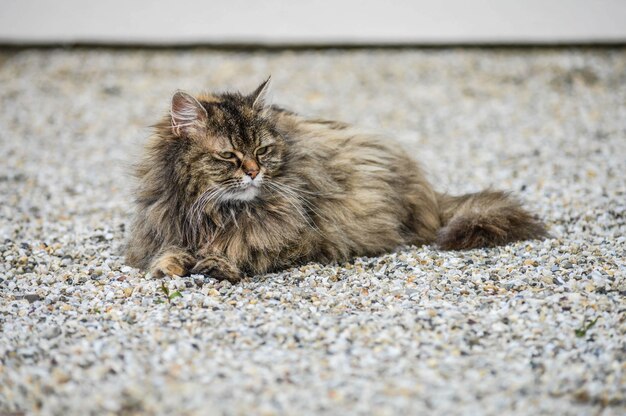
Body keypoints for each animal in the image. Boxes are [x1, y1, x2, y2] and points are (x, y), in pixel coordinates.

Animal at [124, 78, 544, 282]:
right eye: (229, 156)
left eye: (262, 150)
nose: (254, 171)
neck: (215, 212)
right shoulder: (165, 226)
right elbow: (167, 251)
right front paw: (170, 264)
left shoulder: (302, 237)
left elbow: (248, 249)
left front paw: (217, 263)